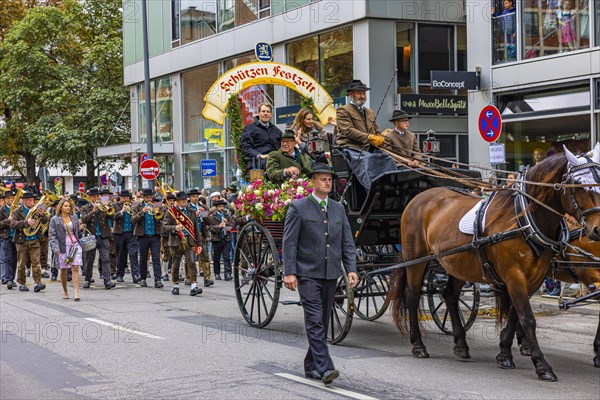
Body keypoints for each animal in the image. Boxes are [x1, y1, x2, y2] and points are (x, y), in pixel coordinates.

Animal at [390, 147, 600, 382]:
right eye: (579, 185)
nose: (598, 229)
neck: (522, 218)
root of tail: (419, 197)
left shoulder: (535, 277)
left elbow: (516, 315)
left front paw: (504, 353)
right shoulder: (514, 274)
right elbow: (527, 317)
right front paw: (542, 364)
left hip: (459, 264)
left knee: (450, 295)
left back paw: (461, 344)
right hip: (416, 258)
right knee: (412, 295)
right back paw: (418, 345)